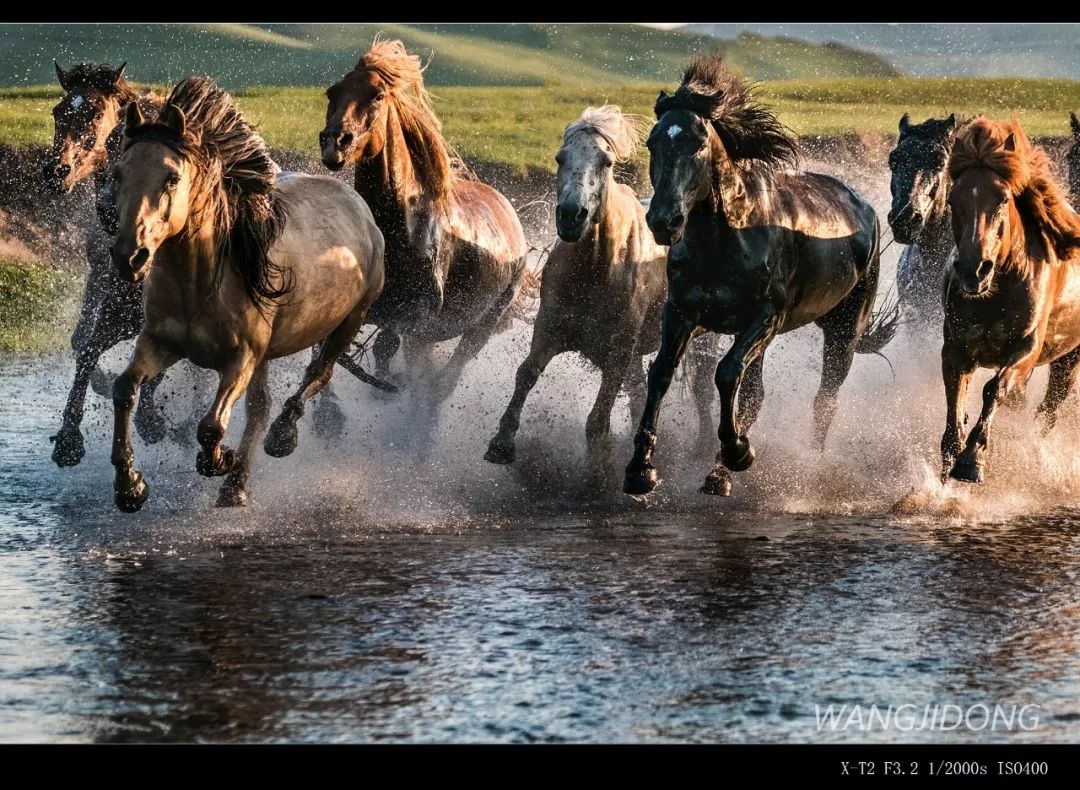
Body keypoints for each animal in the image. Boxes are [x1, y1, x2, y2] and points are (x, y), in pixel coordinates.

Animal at [108, 78, 384, 512]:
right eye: (119, 174)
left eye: (171, 178)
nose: (128, 256)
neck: (201, 286)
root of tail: (360, 208)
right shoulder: (161, 343)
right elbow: (124, 390)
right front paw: (130, 486)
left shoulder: (242, 358)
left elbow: (210, 426)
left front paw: (219, 460)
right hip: (268, 354)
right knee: (261, 407)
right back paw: (236, 485)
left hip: (349, 320)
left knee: (316, 375)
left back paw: (280, 438)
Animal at [317, 38, 533, 402]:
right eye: (332, 92)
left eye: (377, 95)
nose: (335, 142)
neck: (400, 226)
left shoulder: (414, 318)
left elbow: (385, 349)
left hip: (482, 325)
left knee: (446, 378)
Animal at [622, 55, 898, 501]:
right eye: (653, 143)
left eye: (698, 143)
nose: (664, 221)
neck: (730, 237)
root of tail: (867, 210)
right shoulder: (682, 313)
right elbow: (661, 373)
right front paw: (640, 470)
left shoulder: (764, 318)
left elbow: (725, 374)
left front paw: (739, 452)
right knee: (755, 394)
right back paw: (719, 475)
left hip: (842, 331)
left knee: (824, 399)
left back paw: (805, 466)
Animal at [941, 118, 1080, 484]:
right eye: (952, 200)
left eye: (1003, 199)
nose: (973, 270)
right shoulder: (956, 349)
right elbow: (954, 397)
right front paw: (950, 456)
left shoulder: (1025, 350)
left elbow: (994, 389)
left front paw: (971, 460)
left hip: (1068, 360)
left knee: (1048, 411)